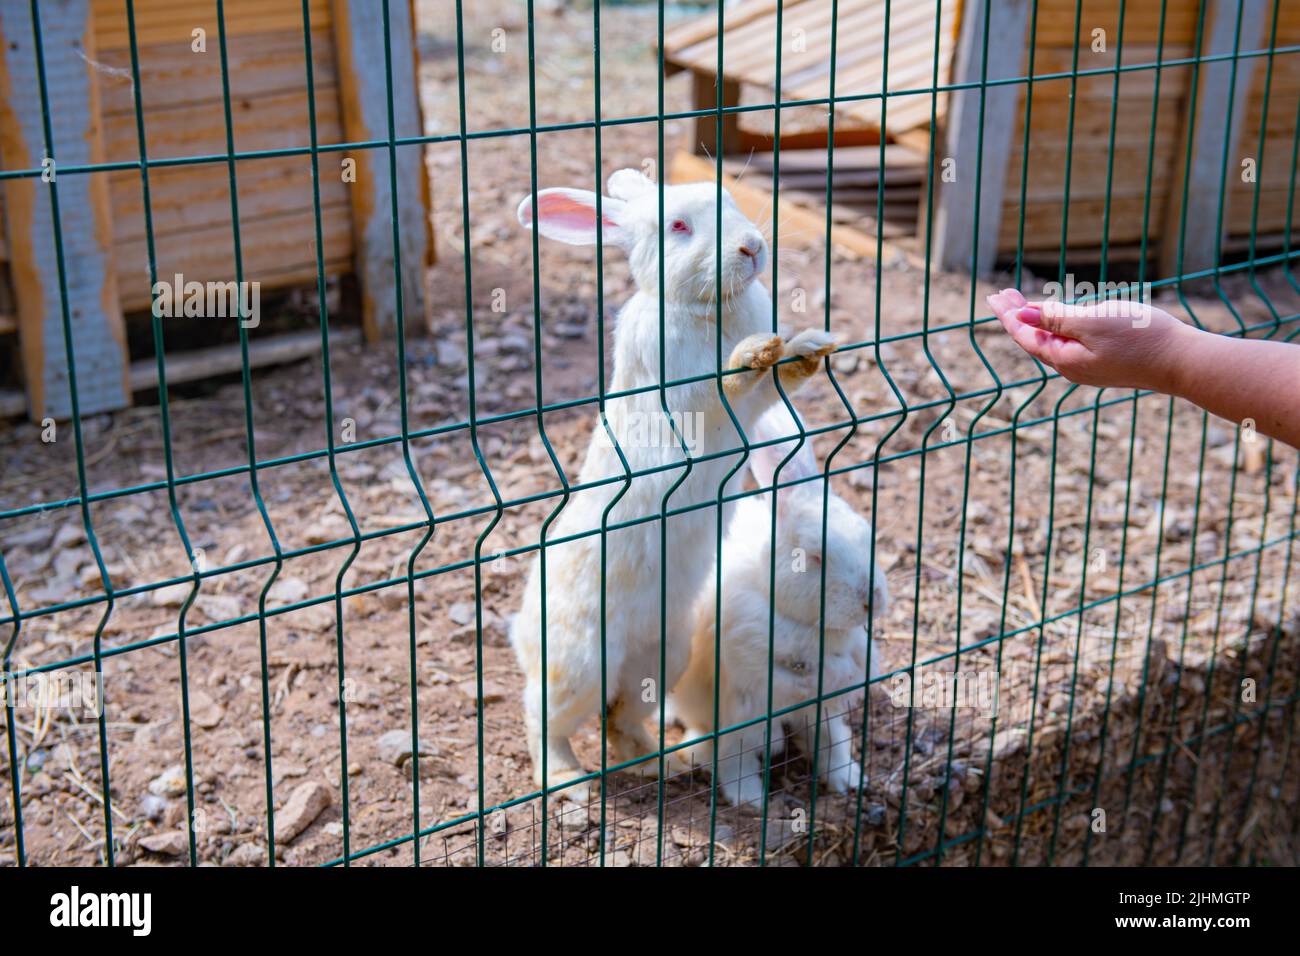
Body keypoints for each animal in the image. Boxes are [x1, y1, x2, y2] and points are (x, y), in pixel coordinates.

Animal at [506, 167, 832, 796]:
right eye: (679, 227)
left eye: (728, 200)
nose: (751, 248)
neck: (712, 308)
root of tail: (520, 632)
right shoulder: (683, 392)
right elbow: (721, 388)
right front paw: (749, 355)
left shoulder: (757, 411)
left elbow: (773, 387)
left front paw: (805, 348)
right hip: (577, 666)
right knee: (541, 719)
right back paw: (569, 782)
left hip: (662, 657)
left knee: (619, 719)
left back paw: (662, 762)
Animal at [665, 400, 889, 811]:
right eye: (815, 557)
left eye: (868, 536)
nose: (873, 599)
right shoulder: (745, 679)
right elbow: (739, 750)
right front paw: (750, 799)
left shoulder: (829, 694)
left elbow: (830, 733)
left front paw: (848, 780)